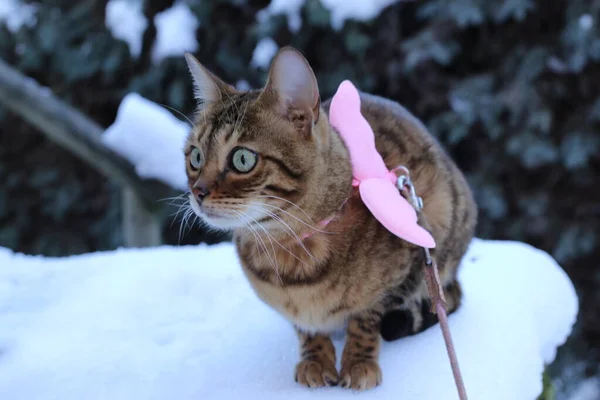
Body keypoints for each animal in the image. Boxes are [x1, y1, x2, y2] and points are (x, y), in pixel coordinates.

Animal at [183, 47, 478, 390]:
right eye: (195, 156)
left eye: (242, 159)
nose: (198, 191)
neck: (289, 250)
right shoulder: (296, 308)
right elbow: (306, 327)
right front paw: (316, 358)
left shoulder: (404, 271)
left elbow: (366, 319)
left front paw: (358, 362)